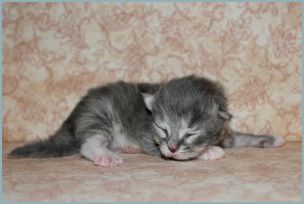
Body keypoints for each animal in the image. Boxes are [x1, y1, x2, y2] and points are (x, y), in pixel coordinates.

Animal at [142, 75, 284, 162]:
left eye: (190, 133)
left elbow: (244, 137)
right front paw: (209, 151)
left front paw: (273, 139)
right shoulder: (149, 140)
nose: (172, 148)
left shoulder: (225, 134)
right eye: (163, 129)